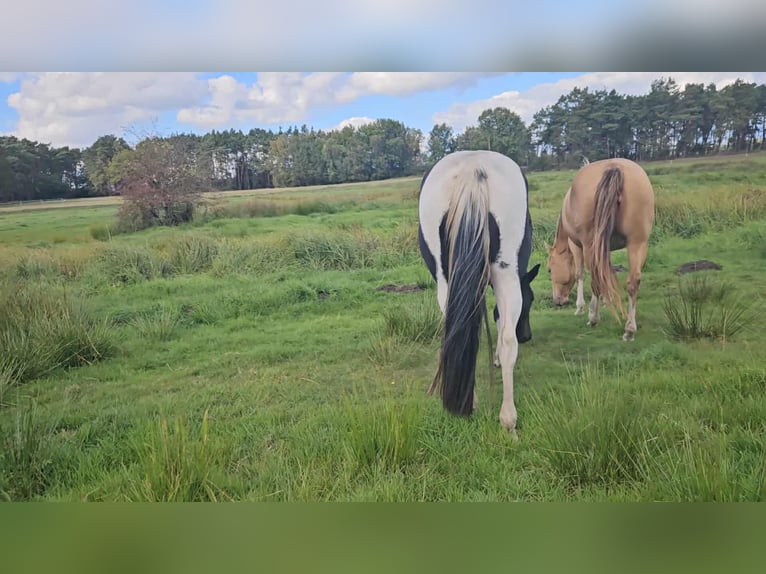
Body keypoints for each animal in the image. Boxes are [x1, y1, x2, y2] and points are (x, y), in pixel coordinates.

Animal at [417, 150, 540, 432]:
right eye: (532, 300)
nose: (527, 335)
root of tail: (473, 166)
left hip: (446, 280)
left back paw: (467, 403)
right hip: (506, 274)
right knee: (507, 340)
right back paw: (508, 421)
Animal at [546, 158, 655, 341]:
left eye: (549, 269)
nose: (558, 301)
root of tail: (615, 168)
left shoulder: (576, 246)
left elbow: (580, 274)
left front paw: (580, 307)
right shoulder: (605, 248)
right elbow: (607, 274)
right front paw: (607, 299)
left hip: (590, 245)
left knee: (595, 280)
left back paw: (593, 318)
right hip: (637, 243)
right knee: (633, 282)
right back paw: (629, 330)